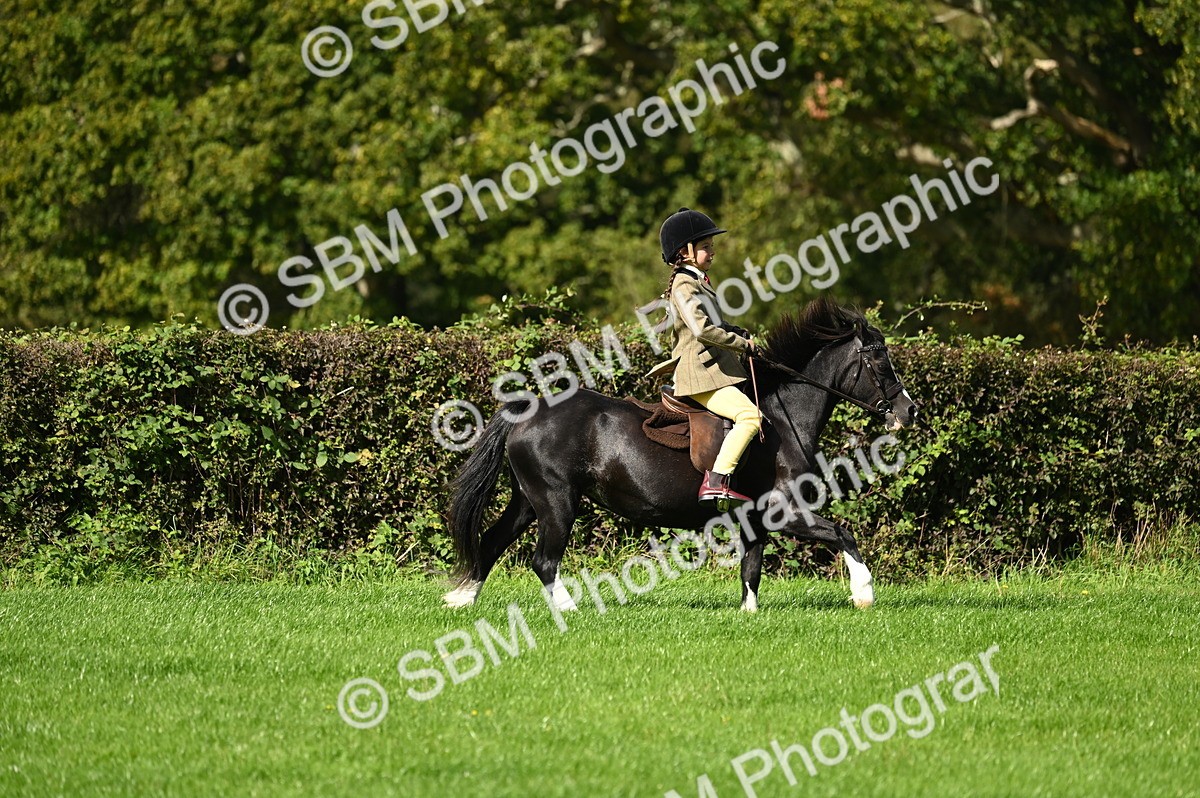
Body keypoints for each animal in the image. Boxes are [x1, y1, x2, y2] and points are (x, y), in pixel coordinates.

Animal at [443, 297, 920, 612]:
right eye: (880, 359)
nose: (909, 411)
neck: (782, 422)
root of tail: (527, 409)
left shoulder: (754, 517)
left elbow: (751, 569)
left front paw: (748, 616)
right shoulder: (785, 511)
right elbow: (842, 533)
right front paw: (864, 593)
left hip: (528, 499)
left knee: (491, 541)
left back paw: (460, 600)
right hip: (557, 501)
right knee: (543, 561)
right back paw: (569, 611)